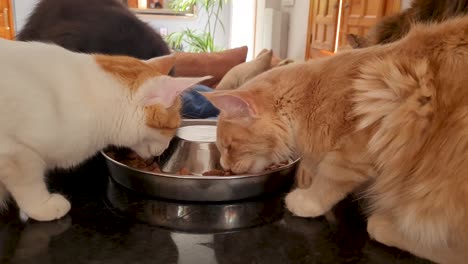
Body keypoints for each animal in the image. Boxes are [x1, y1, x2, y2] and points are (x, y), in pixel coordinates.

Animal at [201, 17, 468, 264]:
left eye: (229, 147)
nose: (224, 166)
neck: (310, 101)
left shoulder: (359, 143)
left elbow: (328, 180)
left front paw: (306, 200)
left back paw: (383, 225)